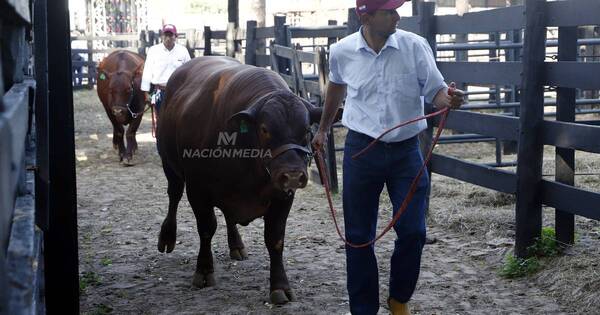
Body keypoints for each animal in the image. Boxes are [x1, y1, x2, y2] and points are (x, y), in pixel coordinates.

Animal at [155, 56, 324, 306]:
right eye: (264, 129)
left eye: (306, 130)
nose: (292, 174)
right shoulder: (198, 190)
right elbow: (206, 229)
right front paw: (203, 271)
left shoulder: (283, 197)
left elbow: (275, 239)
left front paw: (280, 287)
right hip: (170, 165)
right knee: (174, 195)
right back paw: (167, 236)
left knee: (228, 216)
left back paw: (236, 244)